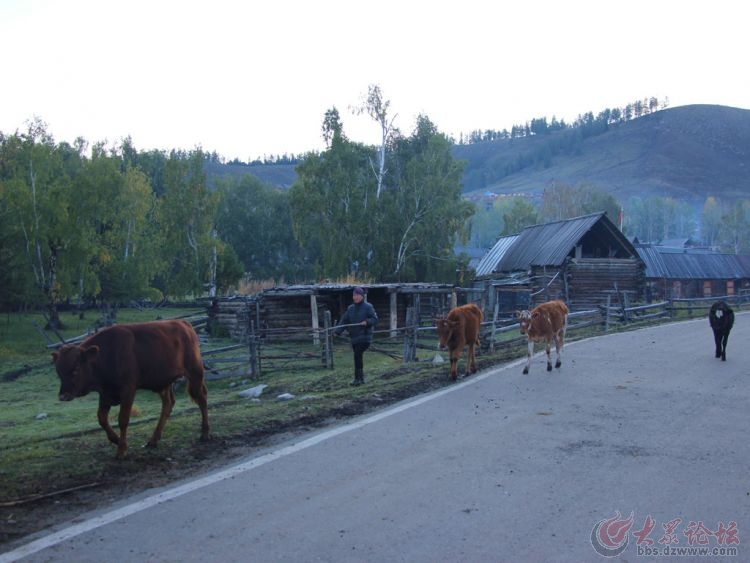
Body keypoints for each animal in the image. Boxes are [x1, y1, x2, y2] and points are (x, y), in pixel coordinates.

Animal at [52, 320, 212, 460]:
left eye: (75, 368)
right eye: (58, 372)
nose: (63, 396)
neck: (105, 355)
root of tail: (184, 324)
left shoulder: (128, 391)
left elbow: (123, 419)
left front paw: (121, 450)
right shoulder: (105, 394)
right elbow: (102, 418)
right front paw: (116, 440)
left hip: (195, 373)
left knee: (202, 399)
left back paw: (205, 434)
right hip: (165, 383)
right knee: (168, 404)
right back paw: (153, 440)